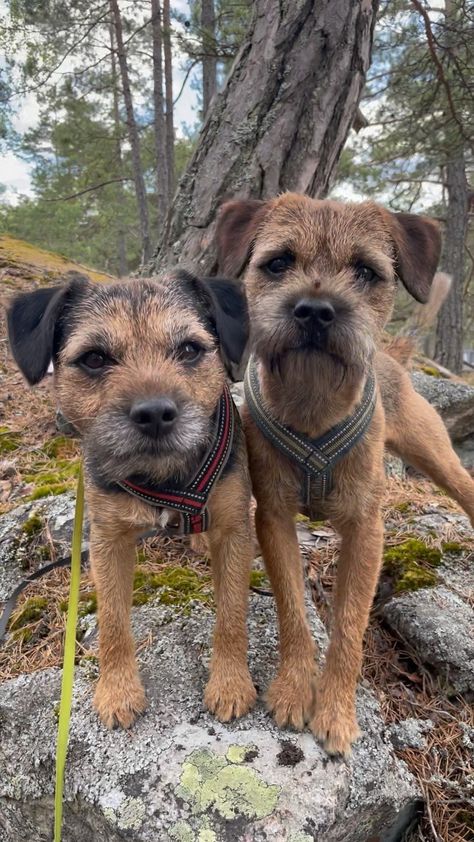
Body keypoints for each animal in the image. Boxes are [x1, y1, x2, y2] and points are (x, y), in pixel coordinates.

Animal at [7, 270, 258, 728]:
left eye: (190, 349)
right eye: (94, 358)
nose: (155, 413)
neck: (163, 478)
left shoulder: (235, 532)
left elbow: (232, 612)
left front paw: (231, 684)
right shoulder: (108, 542)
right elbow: (112, 621)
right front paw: (117, 690)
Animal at [216, 192, 474, 756]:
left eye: (365, 271)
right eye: (278, 263)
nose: (315, 309)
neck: (314, 407)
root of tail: (394, 356)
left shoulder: (365, 530)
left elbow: (350, 626)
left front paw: (335, 709)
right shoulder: (274, 519)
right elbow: (293, 610)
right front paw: (295, 689)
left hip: (439, 457)